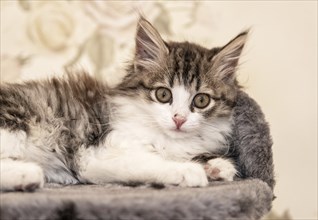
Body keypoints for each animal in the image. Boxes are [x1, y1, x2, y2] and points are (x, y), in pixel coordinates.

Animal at [0, 17, 247, 191]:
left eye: (201, 100)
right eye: (163, 95)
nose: (179, 119)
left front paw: (216, 165)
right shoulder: (96, 154)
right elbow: (149, 162)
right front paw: (189, 170)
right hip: (15, 125)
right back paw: (29, 173)